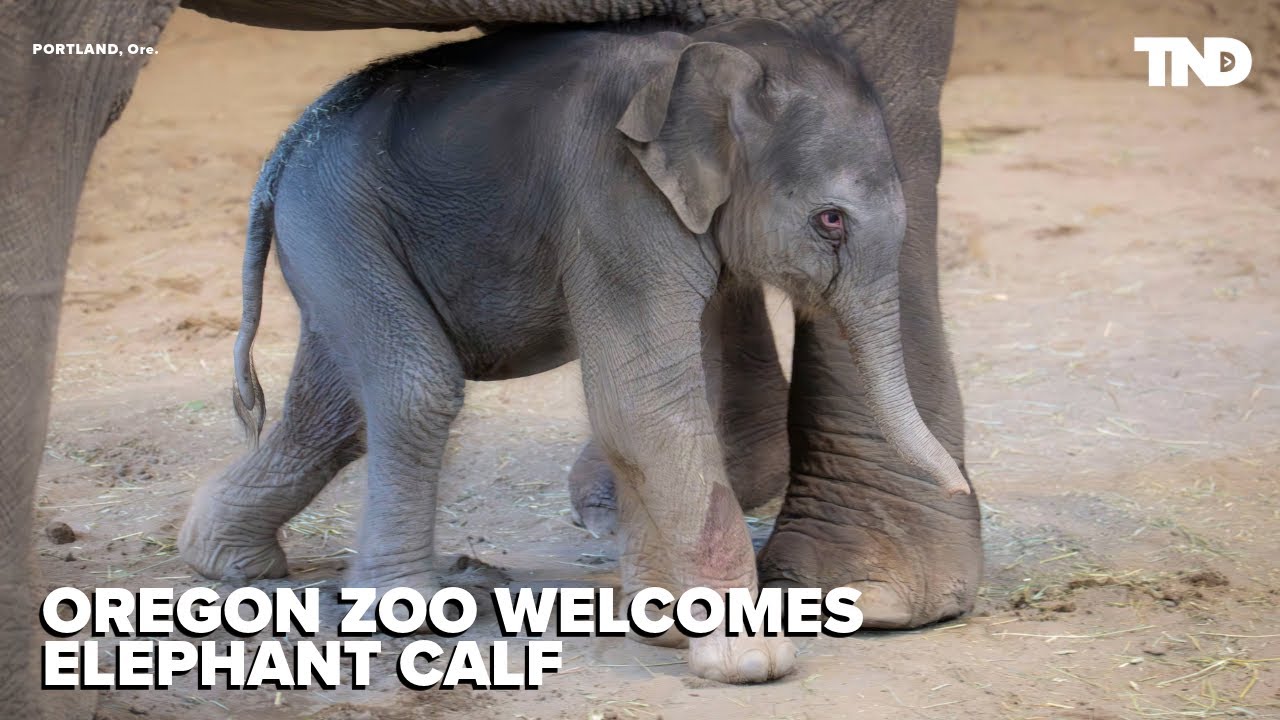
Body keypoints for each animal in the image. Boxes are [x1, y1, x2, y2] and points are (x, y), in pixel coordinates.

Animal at [1, 0, 979, 715]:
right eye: (831, 220)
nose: (965, 484)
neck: (701, 61)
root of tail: (283, 151)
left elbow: (643, 404)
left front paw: (664, 630)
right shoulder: (615, 200)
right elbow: (644, 402)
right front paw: (750, 665)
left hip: (335, 235)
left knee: (337, 411)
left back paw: (230, 565)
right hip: (338, 218)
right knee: (413, 390)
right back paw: (400, 611)